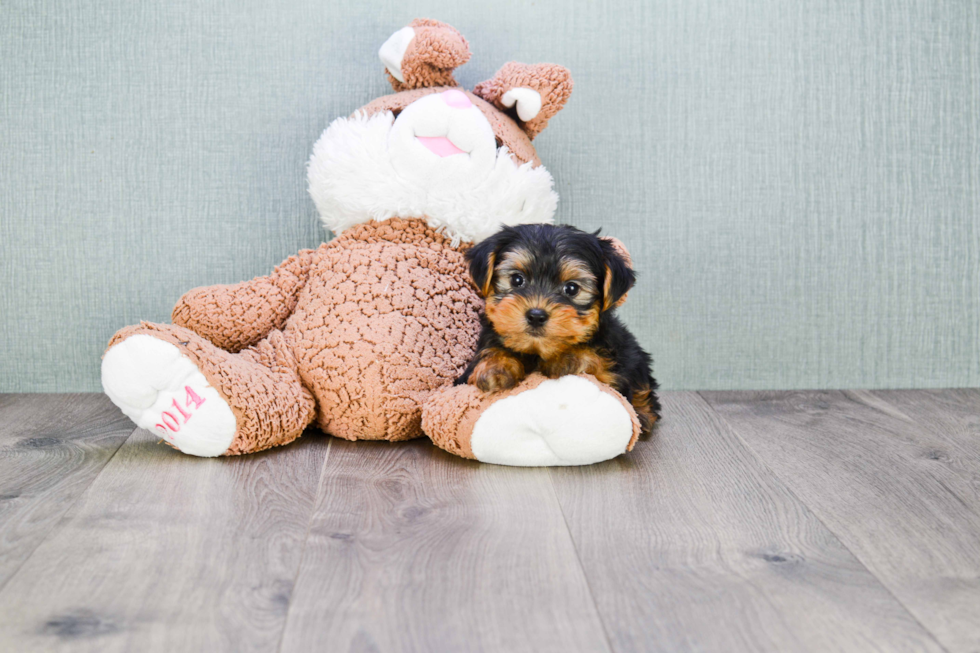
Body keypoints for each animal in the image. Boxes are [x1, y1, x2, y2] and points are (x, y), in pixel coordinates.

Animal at [456, 223, 664, 432]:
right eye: (516, 280)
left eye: (572, 288)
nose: (536, 315)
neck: (537, 351)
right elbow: (493, 349)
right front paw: (496, 367)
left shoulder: (613, 372)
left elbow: (597, 361)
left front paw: (566, 358)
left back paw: (644, 414)